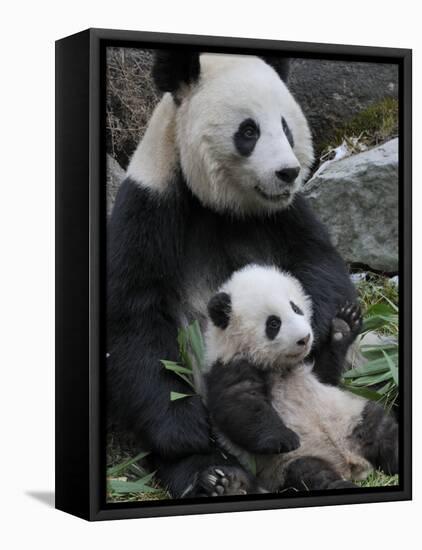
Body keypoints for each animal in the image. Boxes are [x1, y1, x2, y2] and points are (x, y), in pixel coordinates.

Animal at [107, 51, 358, 500]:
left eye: (286, 127)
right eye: (249, 131)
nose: (288, 172)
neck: (220, 204)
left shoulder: (285, 213)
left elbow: (319, 261)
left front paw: (319, 333)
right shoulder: (150, 206)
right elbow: (135, 316)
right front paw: (186, 433)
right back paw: (217, 477)